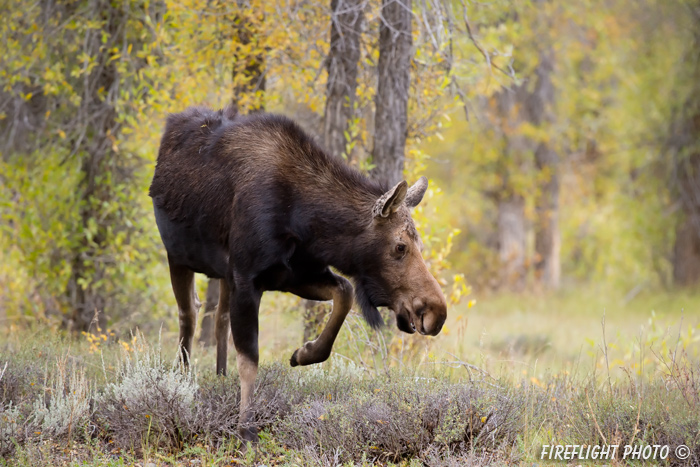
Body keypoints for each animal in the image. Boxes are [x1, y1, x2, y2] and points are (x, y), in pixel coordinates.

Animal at [150, 106, 452, 442]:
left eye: (420, 244)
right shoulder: (248, 279)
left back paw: (219, 378)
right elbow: (250, 360)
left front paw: (303, 353)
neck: (308, 223)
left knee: (218, 319)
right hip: (178, 256)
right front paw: (246, 430)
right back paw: (183, 381)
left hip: (223, 275)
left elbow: (344, 293)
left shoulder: (292, 274)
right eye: (400, 246)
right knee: (189, 315)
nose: (436, 312)